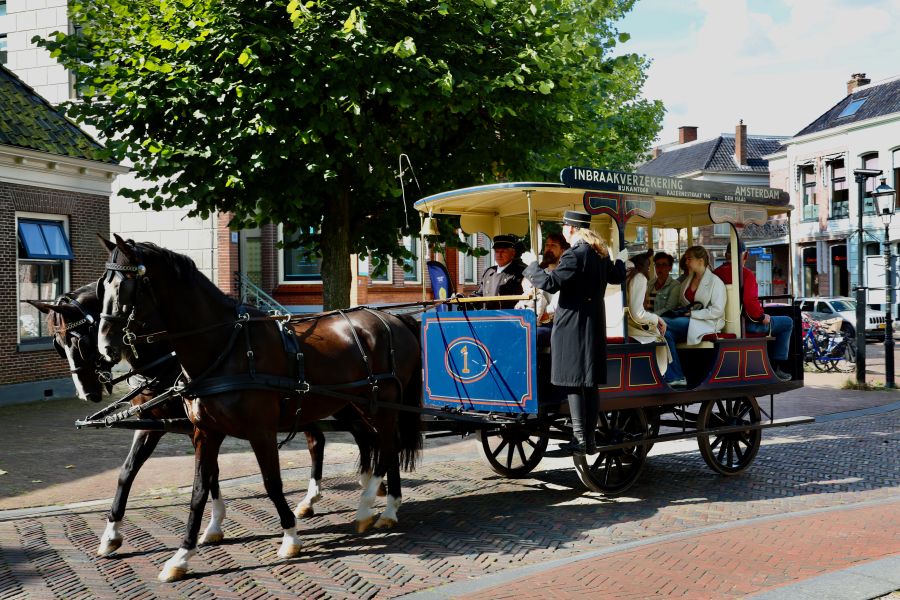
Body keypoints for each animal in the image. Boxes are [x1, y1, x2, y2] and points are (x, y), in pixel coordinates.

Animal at [97, 237, 422, 584]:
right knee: (376, 445)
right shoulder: (203, 432)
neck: (223, 347)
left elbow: (271, 482)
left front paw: (290, 537)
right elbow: (196, 488)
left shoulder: (260, 431)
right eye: (103, 285)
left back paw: (371, 507)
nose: (105, 348)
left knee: (386, 447)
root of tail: (394, 320)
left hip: (381, 406)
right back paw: (382, 506)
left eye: (125, 286)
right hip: (358, 406)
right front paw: (181, 555)